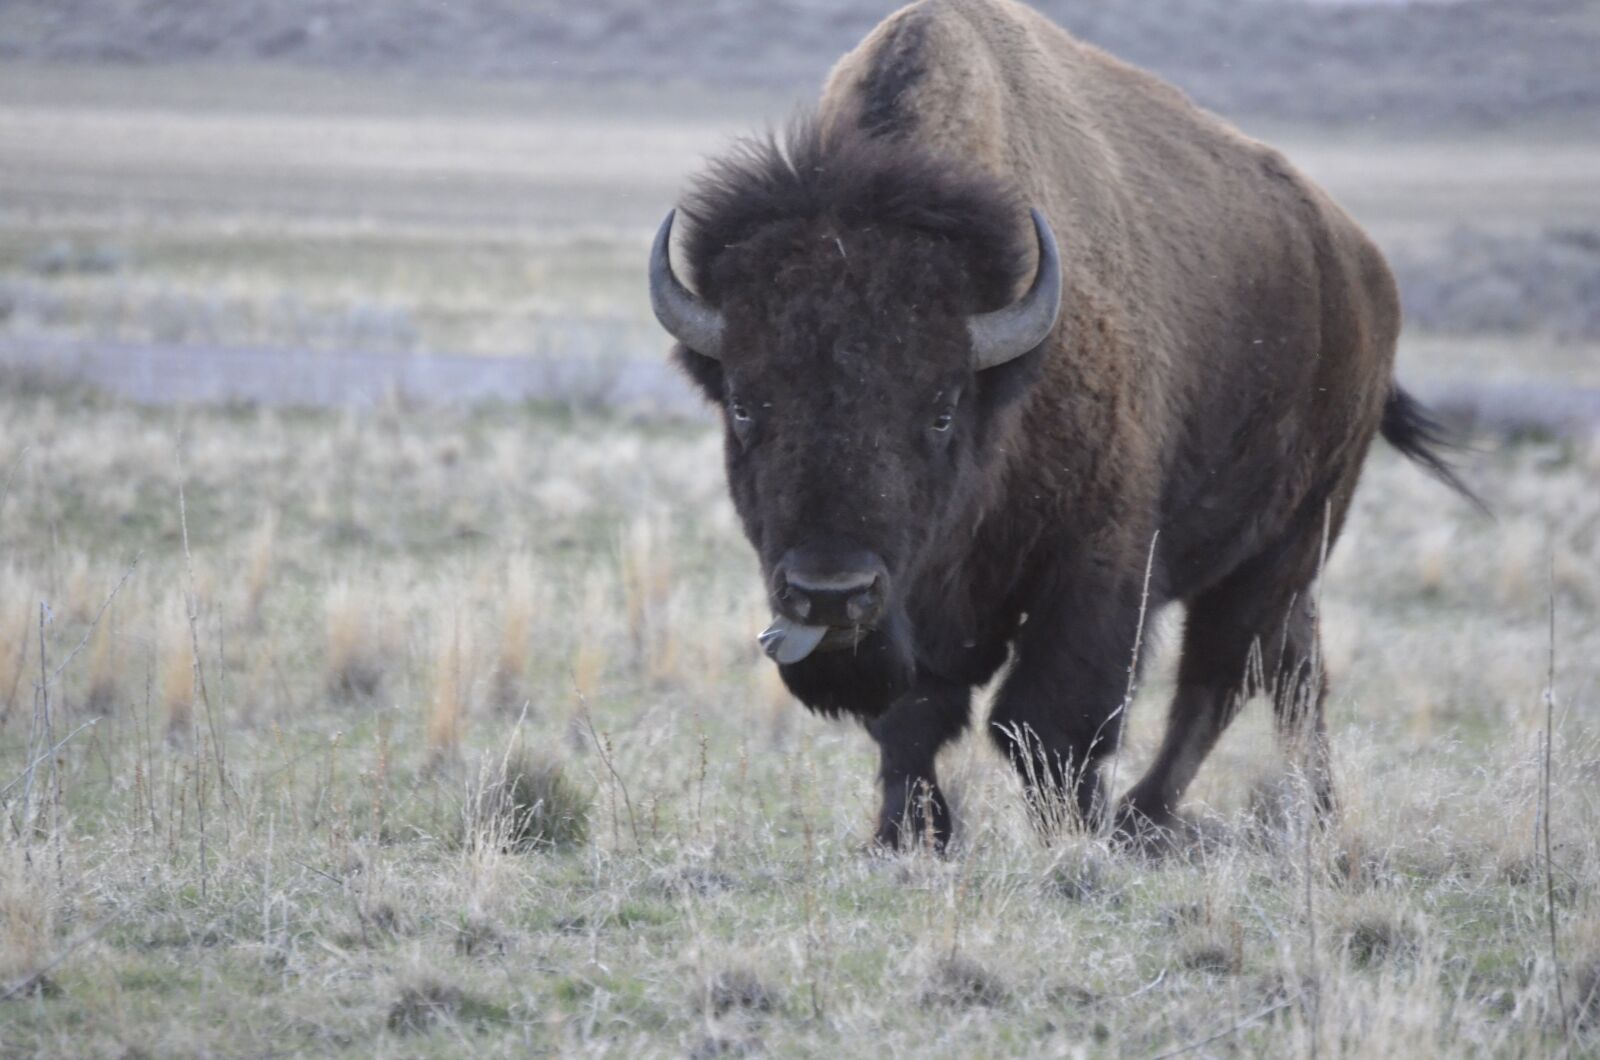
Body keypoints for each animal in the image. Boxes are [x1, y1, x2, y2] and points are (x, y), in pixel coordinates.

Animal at [649, 0, 1474, 849]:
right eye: (743, 403)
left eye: (942, 409)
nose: (830, 591)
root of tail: (1364, 271)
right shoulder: (921, 610)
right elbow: (913, 718)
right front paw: (909, 833)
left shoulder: (1096, 564)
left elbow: (1047, 721)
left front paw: (1072, 836)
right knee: (1291, 666)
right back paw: (1312, 810)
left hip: (1292, 535)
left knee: (1222, 676)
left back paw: (1148, 817)